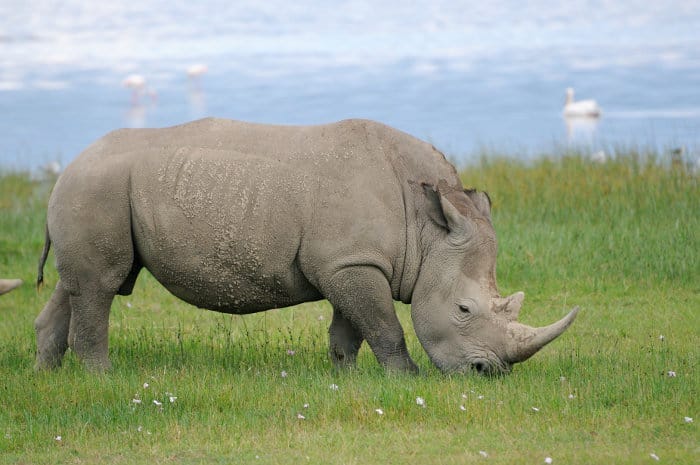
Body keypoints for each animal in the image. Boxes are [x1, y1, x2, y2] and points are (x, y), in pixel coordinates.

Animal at [35, 118, 578, 374]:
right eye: (464, 309)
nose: (489, 374)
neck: (428, 225)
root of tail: (69, 165)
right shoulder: (352, 262)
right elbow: (384, 327)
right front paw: (407, 379)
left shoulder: (350, 261)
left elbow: (350, 329)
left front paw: (346, 378)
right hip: (98, 188)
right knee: (102, 286)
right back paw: (102, 378)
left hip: (95, 190)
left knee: (78, 285)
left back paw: (49, 375)